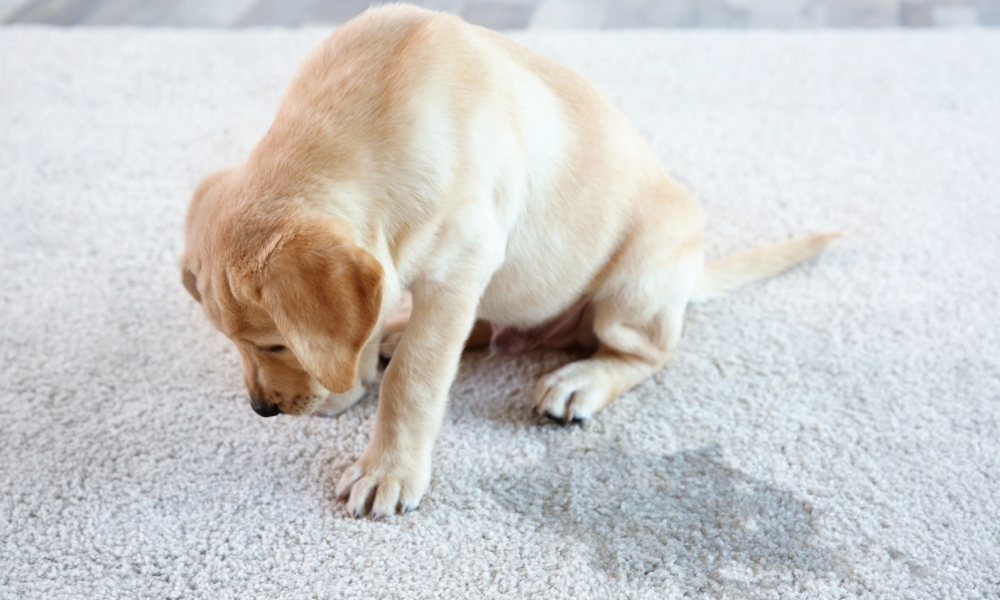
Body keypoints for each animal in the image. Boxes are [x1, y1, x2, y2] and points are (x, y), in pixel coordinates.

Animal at [180, 4, 836, 516]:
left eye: (273, 344)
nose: (262, 410)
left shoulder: (457, 271)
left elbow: (414, 378)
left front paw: (387, 470)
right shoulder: (391, 268)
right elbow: (364, 328)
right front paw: (354, 378)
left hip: (635, 284)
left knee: (645, 351)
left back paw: (580, 380)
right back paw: (398, 332)